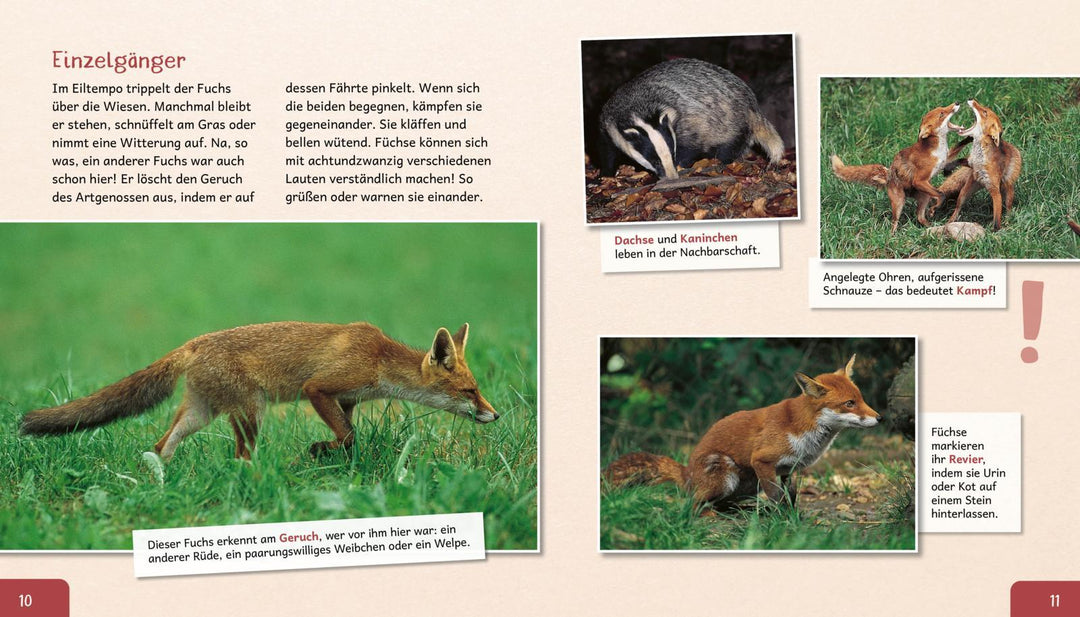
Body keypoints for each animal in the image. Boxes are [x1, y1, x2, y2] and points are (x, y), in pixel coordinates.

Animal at [20, 321, 499, 461]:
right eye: (470, 391)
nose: (496, 415)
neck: (379, 358)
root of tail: (195, 343)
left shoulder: (346, 398)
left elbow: (349, 435)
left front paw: (329, 453)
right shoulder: (319, 388)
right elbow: (347, 436)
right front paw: (320, 450)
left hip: (202, 413)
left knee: (159, 447)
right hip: (251, 410)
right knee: (239, 458)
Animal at [603, 355, 880, 511]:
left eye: (861, 399)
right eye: (849, 403)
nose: (880, 418)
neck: (805, 430)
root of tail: (687, 473)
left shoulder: (787, 470)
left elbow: (790, 497)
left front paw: (794, 519)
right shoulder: (763, 461)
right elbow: (777, 498)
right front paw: (782, 523)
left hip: (747, 485)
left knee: (720, 502)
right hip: (726, 473)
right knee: (691, 504)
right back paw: (709, 514)